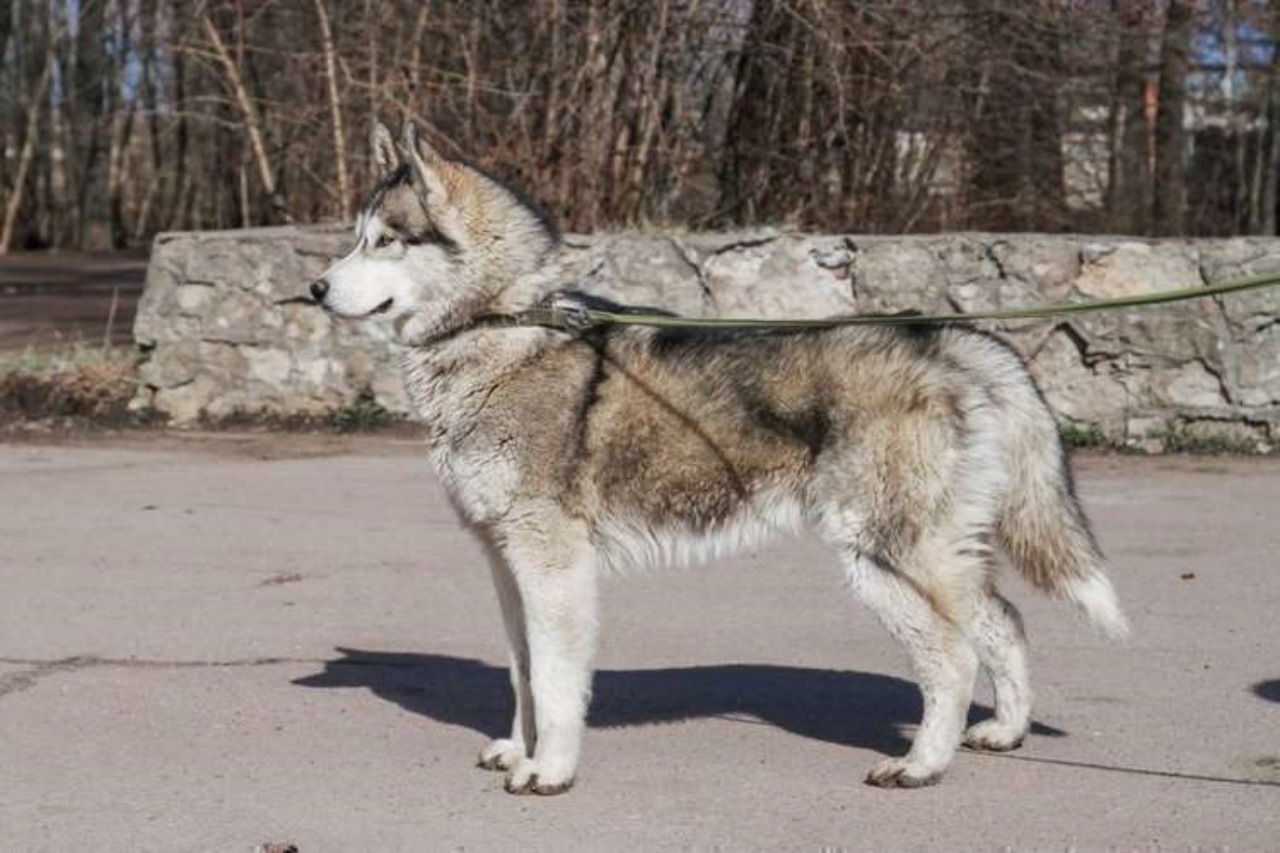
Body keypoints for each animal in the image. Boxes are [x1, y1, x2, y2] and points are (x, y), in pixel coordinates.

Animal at [312, 122, 1131, 794]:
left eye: (386, 240)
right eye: (356, 238)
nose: (314, 289)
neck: (504, 328)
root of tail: (957, 337)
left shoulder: (553, 563)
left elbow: (553, 680)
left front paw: (549, 770)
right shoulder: (505, 561)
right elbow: (521, 674)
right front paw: (520, 750)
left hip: (883, 558)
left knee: (955, 658)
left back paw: (922, 765)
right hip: (936, 557)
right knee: (1005, 621)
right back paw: (1004, 731)